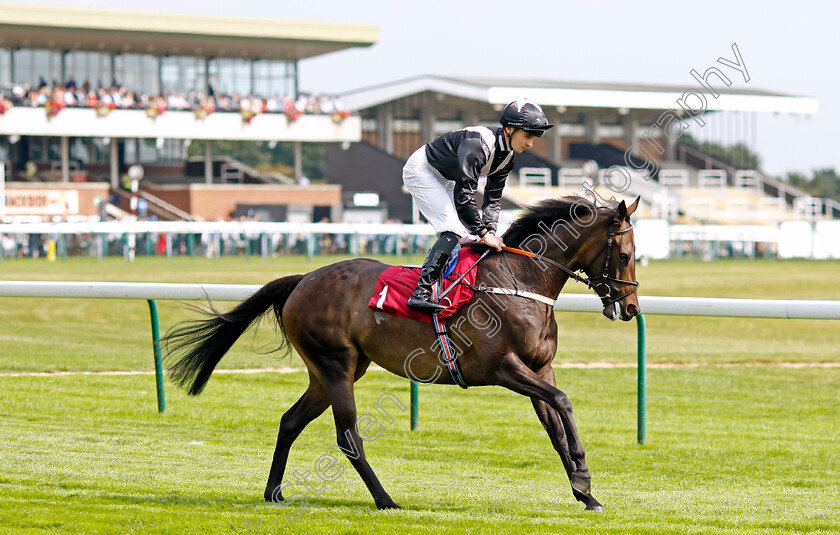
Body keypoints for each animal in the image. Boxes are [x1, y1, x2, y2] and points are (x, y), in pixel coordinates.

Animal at [164, 195, 640, 512]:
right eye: (625, 254)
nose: (631, 308)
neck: (521, 280)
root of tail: (302, 280)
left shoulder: (541, 367)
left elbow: (556, 423)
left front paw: (585, 491)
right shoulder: (501, 367)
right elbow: (563, 402)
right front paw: (583, 475)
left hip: (333, 371)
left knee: (290, 421)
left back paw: (274, 492)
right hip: (335, 366)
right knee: (349, 436)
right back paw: (385, 499)